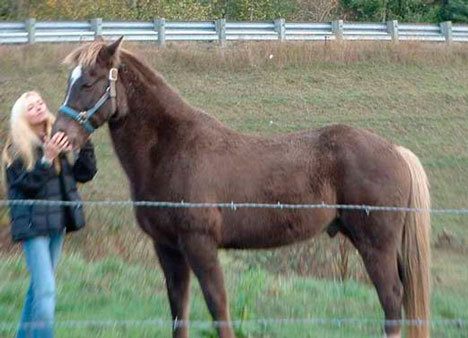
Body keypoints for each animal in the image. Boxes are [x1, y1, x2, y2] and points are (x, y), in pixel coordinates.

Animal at [52, 37, 432, 338]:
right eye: (71, 81)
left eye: (89, 82)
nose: (59, 137)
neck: (173, 148)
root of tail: (395, 150)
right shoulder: (168, 248)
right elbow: (179, 309)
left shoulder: (200, 244)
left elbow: (217, 306)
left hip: (375, 245)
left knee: (392, 300)